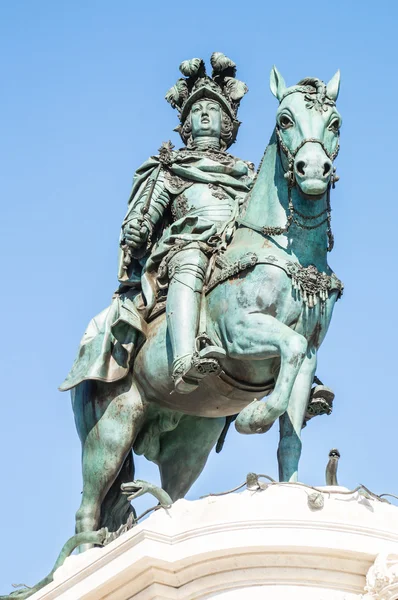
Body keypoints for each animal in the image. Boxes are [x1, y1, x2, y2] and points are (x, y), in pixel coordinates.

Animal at [73, 68, 344, 536]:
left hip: (190, 442)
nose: (313, 170)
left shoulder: (310, 354)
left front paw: (292, 490)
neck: (288, 253)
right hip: (112, 426)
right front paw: (254, 417)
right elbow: (286, 350)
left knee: (171, 489)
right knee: (87, 510)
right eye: (285, 119)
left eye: (336, 122)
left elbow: (290, 431)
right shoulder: (237, 334)